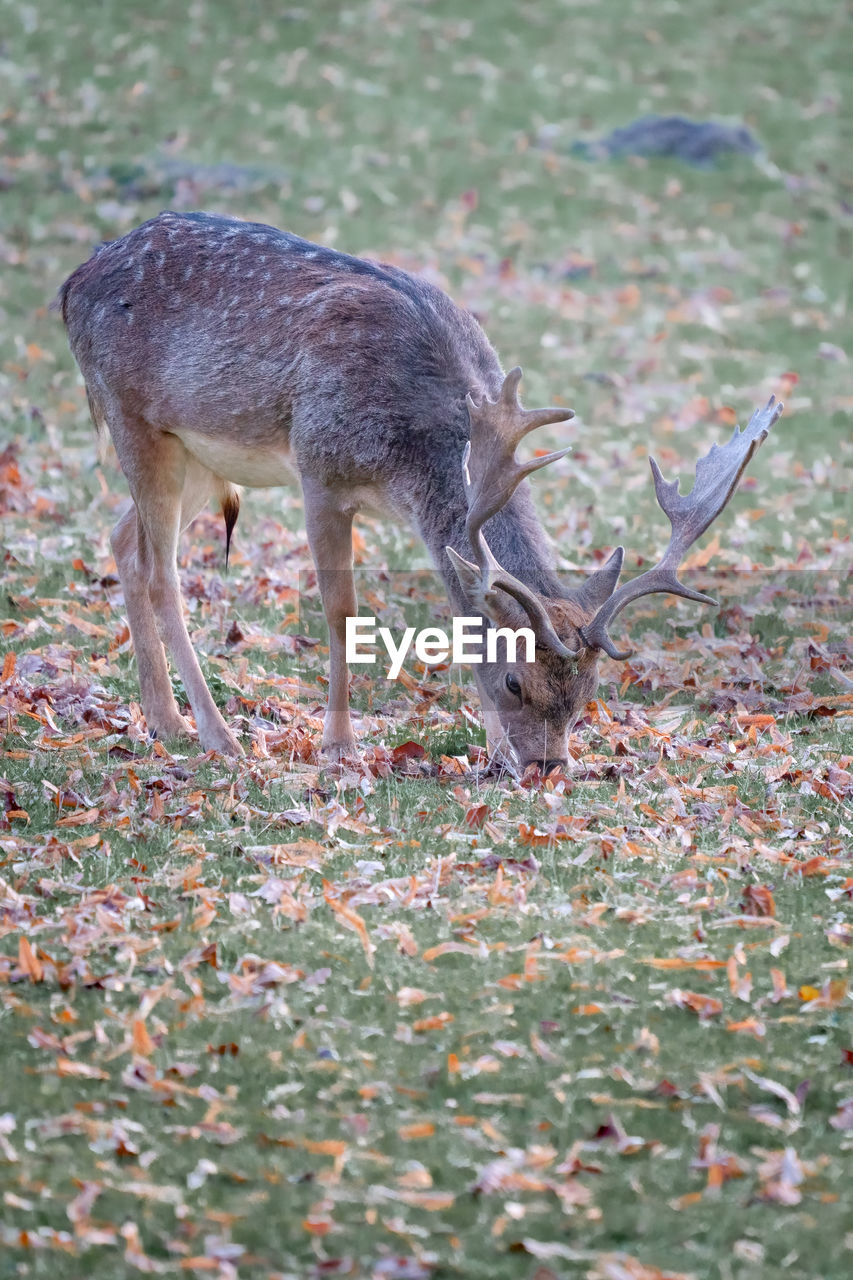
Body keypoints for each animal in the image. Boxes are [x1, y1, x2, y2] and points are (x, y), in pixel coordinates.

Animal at [53, 212, 778, 768]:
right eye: (514, 681)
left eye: (587, 692)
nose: (546, 765)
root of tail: (71, 284)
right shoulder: (320, 470)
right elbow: (342, 613)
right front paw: (339, 747)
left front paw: (488, 749)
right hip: (131, 415)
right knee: (161, 570)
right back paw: (215, 734)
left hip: (199, 455)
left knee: (123, 539)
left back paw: (162, 719)